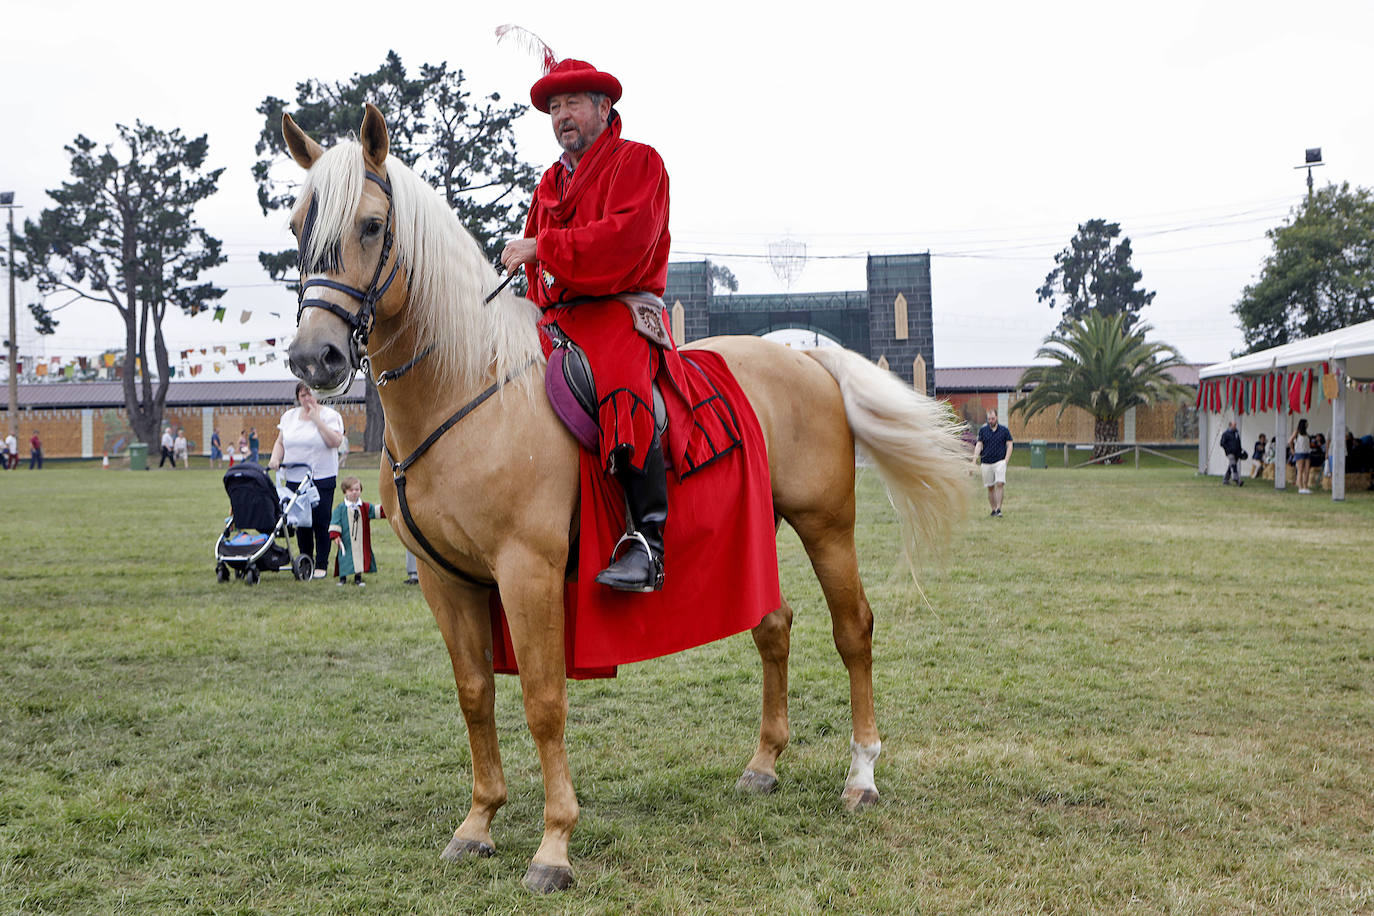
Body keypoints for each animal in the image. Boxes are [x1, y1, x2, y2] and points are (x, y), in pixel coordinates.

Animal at [278, 103, 967, 889]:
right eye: (297, 227)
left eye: (369, 225)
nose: (315, 357)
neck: (470, 388)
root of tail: (807, 358)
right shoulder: (446, 579)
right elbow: (476, 694)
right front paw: (478, 824)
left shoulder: (528, 571)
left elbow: (544, 701)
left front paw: (552, 846)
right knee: (773, 626)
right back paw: (763, 764)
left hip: (827, 525)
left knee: (854, 631)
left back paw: (862, 776)